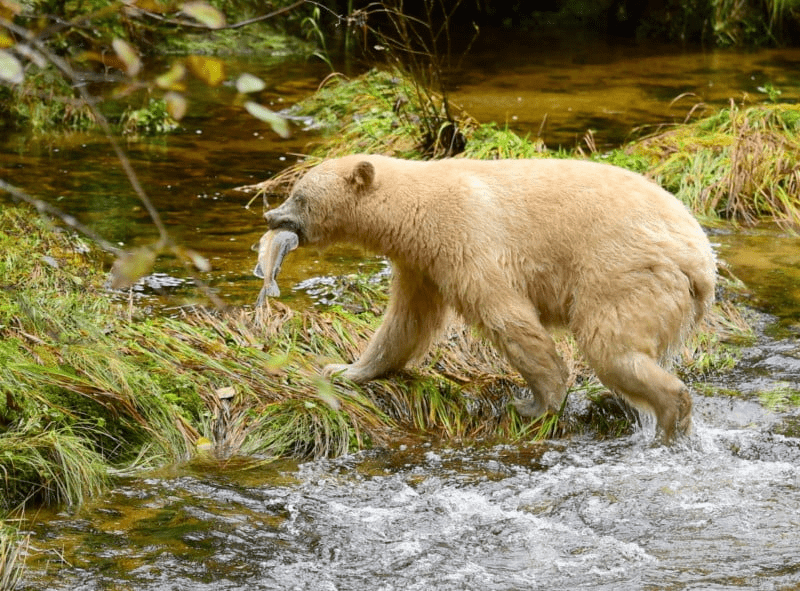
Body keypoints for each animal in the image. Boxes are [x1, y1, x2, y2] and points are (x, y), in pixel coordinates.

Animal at [266, 155, 716, 442]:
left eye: (299, 196)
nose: (271, 217)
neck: (415, 208)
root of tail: (702, 264)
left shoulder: (465, 238)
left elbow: (506, 316)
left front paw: (537, 404)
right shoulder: (421, 264)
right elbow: (405, 324)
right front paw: (344, 369)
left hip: (625, 273)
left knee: (612, 349)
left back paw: (671, 418)